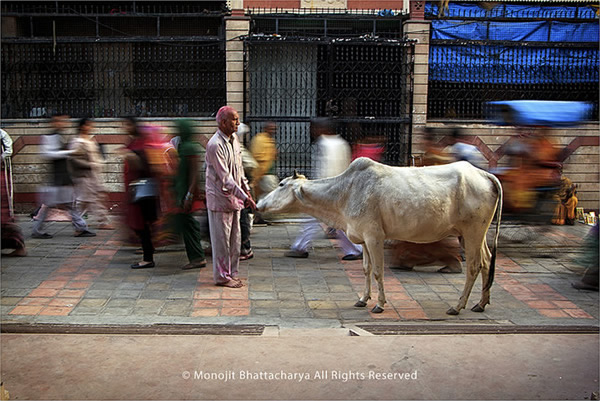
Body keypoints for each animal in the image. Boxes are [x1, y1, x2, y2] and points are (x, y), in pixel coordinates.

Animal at [256, 158, 502, 314]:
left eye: (281, 184)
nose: (258, 204)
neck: (344, 193)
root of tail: (483, 174)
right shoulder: (363, 238)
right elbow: (365, 269)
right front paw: (363, 299)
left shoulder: (374, 236)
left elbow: (377, 271)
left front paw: (380, 304)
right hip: (472, 235)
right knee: (487, 261)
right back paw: (481, 303)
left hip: (473, 232)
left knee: (474, 266)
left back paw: (458, 306)